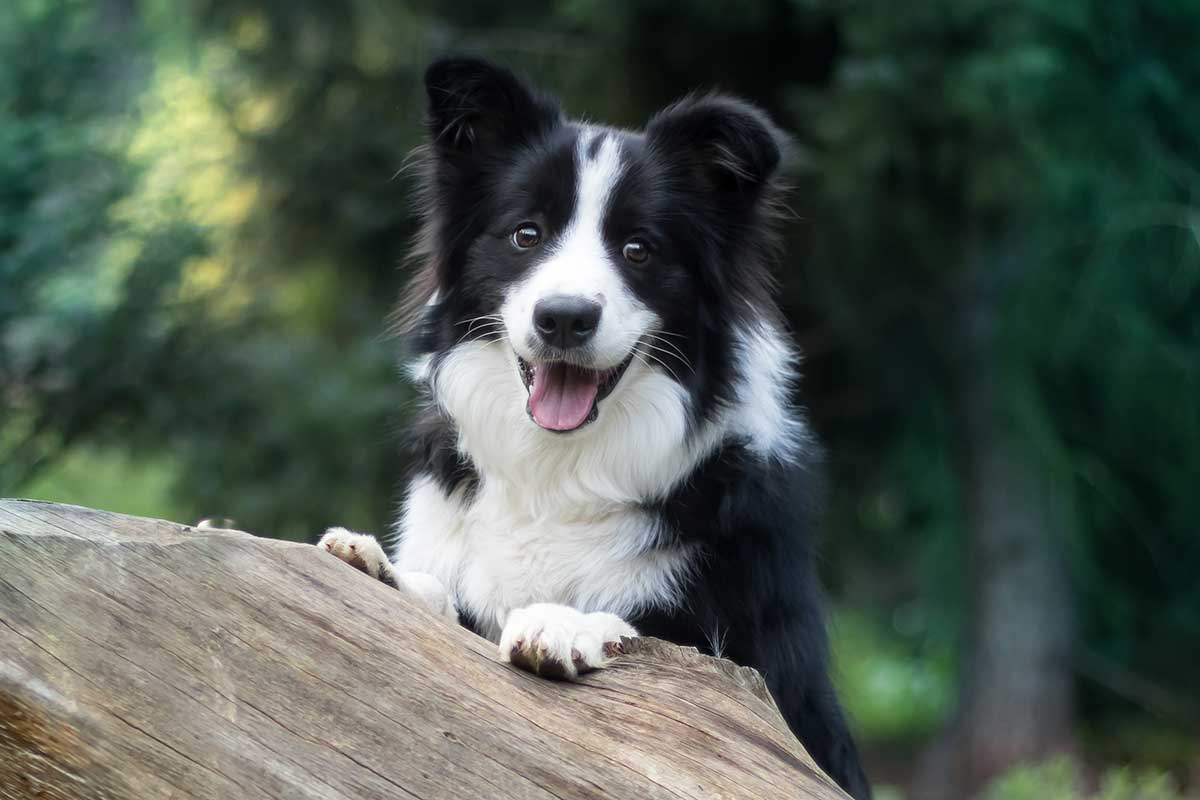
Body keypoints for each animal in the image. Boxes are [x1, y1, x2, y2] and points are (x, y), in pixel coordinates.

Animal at [319, 57, 873, 800]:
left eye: (639, 249)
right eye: (526, 234)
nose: (564, 318)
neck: (558, 467)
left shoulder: (760, 674)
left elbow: (651, 636)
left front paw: (559, 622)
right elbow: (444, 598)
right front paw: (377, 567)